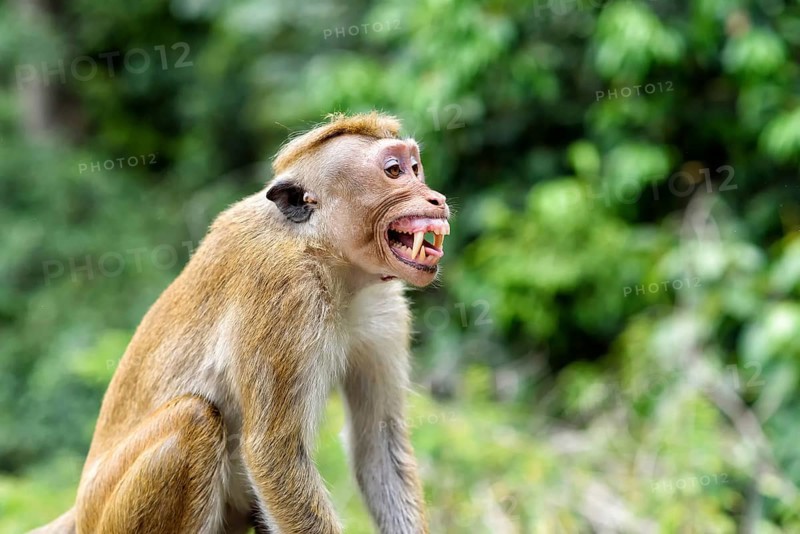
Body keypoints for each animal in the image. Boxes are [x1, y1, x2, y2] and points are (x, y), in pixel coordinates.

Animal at [32, 111, 450, 534]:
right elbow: (273, 453)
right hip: (111, 514)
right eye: (394, 171)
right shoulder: (285, 295)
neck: (323, 253)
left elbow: (377, 442)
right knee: (194, 419)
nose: (436, 198)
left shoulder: (385, 307)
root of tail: (80, 509)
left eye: (415, 168)